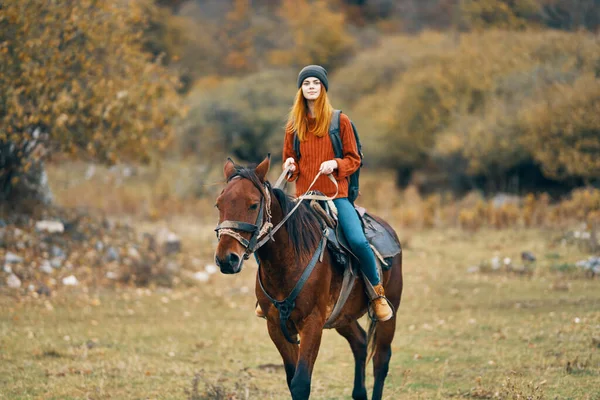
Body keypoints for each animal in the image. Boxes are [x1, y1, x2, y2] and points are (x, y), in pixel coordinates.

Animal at [213, 156, 406, 400]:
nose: (226, 259)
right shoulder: (276, 326)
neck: (288, 263)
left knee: (381, 359)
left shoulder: (312, 323)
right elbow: (291, 378)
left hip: (390, 313)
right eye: (219, 204)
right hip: (342, 316)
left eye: (253, 204)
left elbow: (301, 382)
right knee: (360, 342)